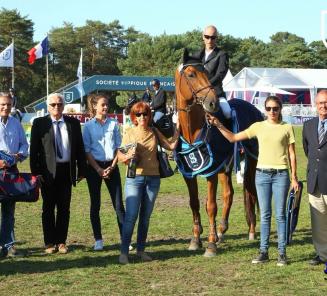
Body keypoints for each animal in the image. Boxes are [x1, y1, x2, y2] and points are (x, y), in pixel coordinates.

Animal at [174, 49, 264, 256]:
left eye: (207, 73)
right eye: (191, 74)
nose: (212, 103)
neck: (192, 131)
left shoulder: (211, 171)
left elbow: (211, 205)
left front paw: (211, 244)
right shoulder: (188, 173)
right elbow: (194, 202)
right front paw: (196, 239)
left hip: (250, 161)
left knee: (250, 191)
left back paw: (250, 231)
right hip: (226, 165)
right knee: (228, 193)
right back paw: (222, 231)